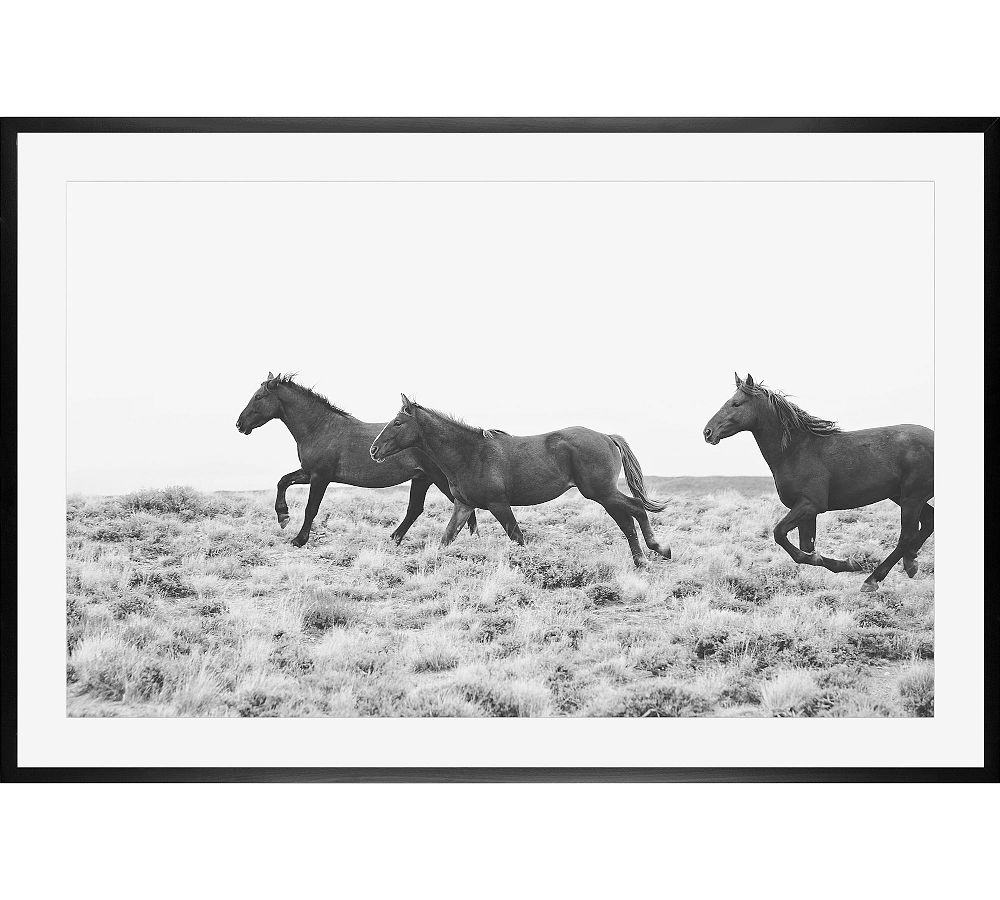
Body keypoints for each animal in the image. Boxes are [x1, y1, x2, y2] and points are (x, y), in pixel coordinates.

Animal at [235, 373, 477, 547]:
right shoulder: (308, 472)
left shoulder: (320, 477)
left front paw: (299, 539)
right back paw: (394, 539)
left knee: (463, 506)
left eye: (259, 397)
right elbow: (283, 481)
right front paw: (283, 516)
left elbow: (311, 508)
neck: (320, 428)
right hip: (421, 479)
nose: (239, 424)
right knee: (416, 509)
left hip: (438, 479)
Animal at [369, 395, 671, 567]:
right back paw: (642, 559)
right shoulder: (464, 505)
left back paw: (658, 549)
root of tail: (606, 437)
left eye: (397, 423)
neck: (471, 453)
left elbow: (518, 537)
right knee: (627, 518)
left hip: (601, 491)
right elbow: (447, 538)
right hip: (602, 494)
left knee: (635, 510)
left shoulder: (498, 504)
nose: (373, 450)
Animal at [703, 373, 934, 592]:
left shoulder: (810, 504)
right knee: (927, 523)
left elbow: (781, 535)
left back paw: (873, 579)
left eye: (736, 403)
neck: (795, 450)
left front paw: (849, 564)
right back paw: (911, 563)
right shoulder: (807, 512)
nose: (707, 432)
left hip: (912, 497)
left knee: (907, 535)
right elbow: (805, 548)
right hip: (902, 496)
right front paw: (842, 563)